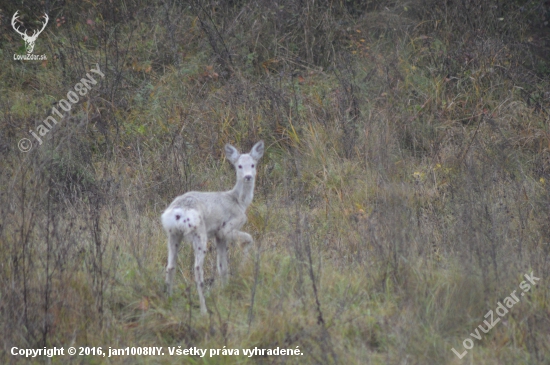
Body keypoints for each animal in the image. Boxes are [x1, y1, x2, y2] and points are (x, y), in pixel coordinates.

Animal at [162, 139, 266, 312]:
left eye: (253, 164)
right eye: (239, 166)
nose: (248, 177)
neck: (239, 202)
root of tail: (179, 211)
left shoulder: (218, 236)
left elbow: (222, 266)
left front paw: (225, 290)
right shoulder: (226, 228)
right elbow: (249, 238)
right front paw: (243, 265)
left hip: (173, 234)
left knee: (170, 266)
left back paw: (168, 302)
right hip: (199, 234)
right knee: (197, 269)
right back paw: (204, 309)